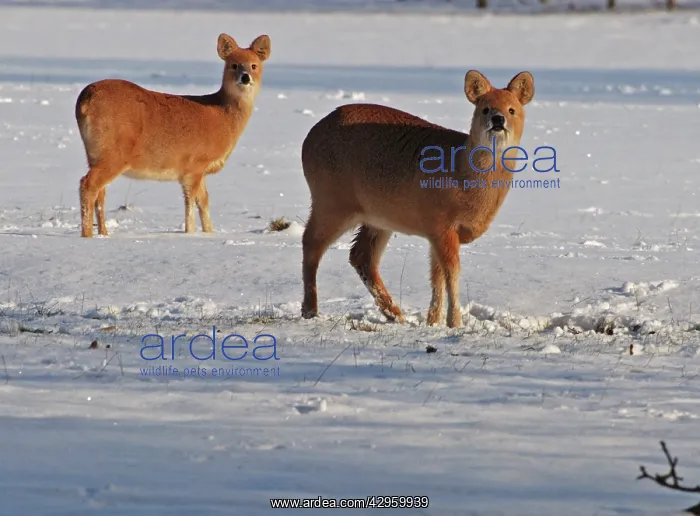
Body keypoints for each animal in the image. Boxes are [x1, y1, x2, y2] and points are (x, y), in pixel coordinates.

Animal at [74, 33, 271, 238]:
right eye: (234, 65)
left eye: (254, 65)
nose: (245, 77)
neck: (222, 115)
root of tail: (85, 100)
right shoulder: (194, 164)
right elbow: (191, 203)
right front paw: (190, 233)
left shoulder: (200, 171)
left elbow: (204, 201)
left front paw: (209, 232)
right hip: (114, 152)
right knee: (88, 184)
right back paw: (87, 235)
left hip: (95, 153)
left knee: (100, 192)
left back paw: (103, 234)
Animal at [300, 70, 535, 328]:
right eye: (485, 108)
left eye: (512, 109)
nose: (498, 119)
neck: (463, 173)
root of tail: (308, 138)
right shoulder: (441, 223)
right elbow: (451, 272)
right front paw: (455, 323)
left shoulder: (436, 231)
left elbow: (436, 275)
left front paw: (433, 322)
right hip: (332, 199)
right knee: (311, 243)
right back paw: (310, 310)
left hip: (377, 217)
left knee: (361, 256)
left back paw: (395, 314)